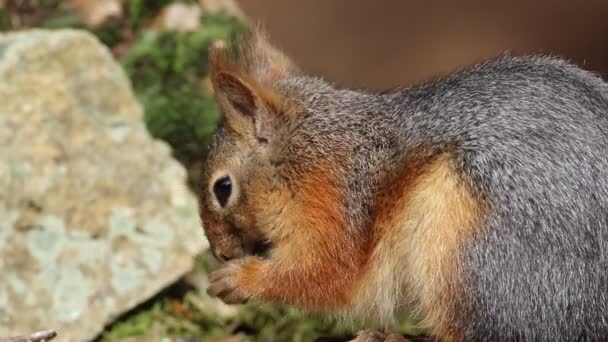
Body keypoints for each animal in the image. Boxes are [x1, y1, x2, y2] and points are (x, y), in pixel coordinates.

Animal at [197, 29, 608, 342]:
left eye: (222, 188)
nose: (221, 252)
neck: (313, 148)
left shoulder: (335, 205)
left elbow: (326, 275)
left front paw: (240, 280)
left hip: (472, 254)